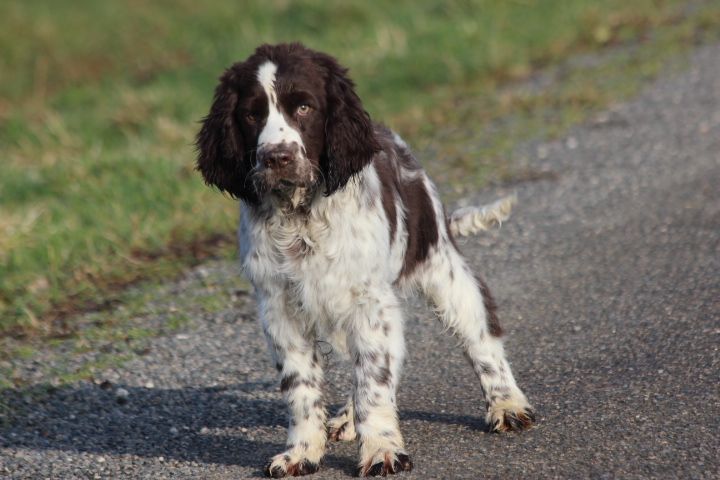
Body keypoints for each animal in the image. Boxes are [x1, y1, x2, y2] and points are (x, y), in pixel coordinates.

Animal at [197, 43, 536, 478]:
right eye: (251, 114)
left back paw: (507, 405)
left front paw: (381, 449)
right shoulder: (279, 308)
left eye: (304, 107)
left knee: (480, 337)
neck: (302, 216)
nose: (277, 157)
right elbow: (301, 386)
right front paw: (301, 452)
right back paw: (344, 419)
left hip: (442, 269)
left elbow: (373, 381)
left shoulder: (369, 302)